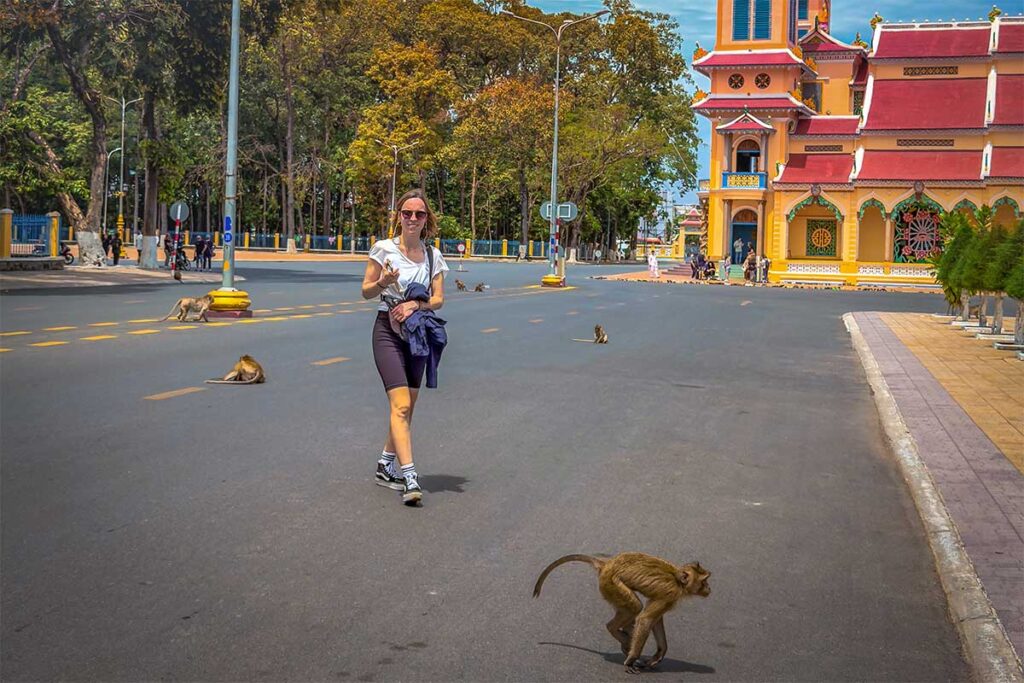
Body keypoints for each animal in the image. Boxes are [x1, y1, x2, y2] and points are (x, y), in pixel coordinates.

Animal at [533, 552, 710, 674]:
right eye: (704, 581)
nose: (709, 588)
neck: (678, 580)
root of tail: (606, 564)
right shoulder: (670, 594)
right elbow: (646, 619)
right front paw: (631, 660)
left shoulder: (667, 599)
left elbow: (655, 620)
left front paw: (659, 653)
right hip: (611, 584)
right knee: (635, 608)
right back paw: (617, 632)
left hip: (610, 588)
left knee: (633, 610)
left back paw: (626, 636)